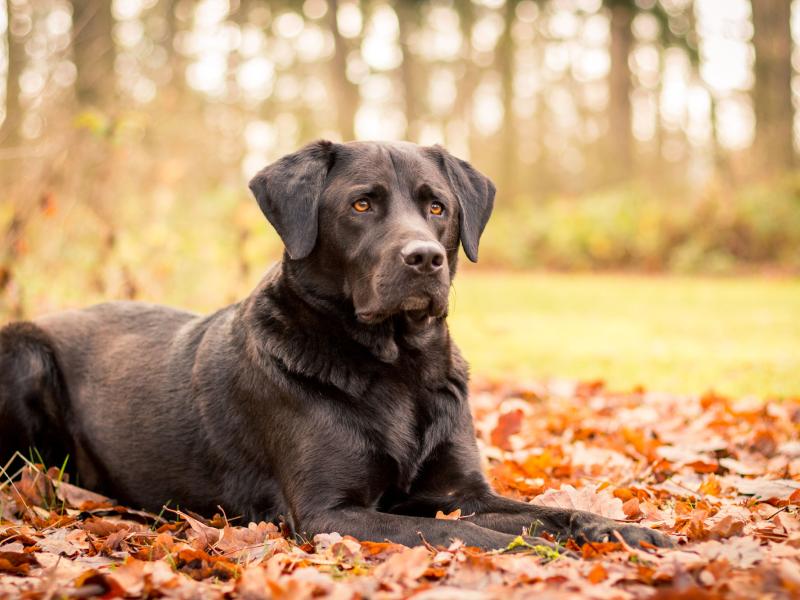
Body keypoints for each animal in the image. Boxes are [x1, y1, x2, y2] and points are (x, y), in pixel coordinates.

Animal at [0, 141, 676, 548]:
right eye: (361, 204)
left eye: (437, 207)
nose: (424, 259)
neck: (398, 368)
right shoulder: (331, 512)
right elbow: (465, 534)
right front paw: (533, 549)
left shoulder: (460, 492)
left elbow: (543, 511)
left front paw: (623, 532)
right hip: (25, 356)